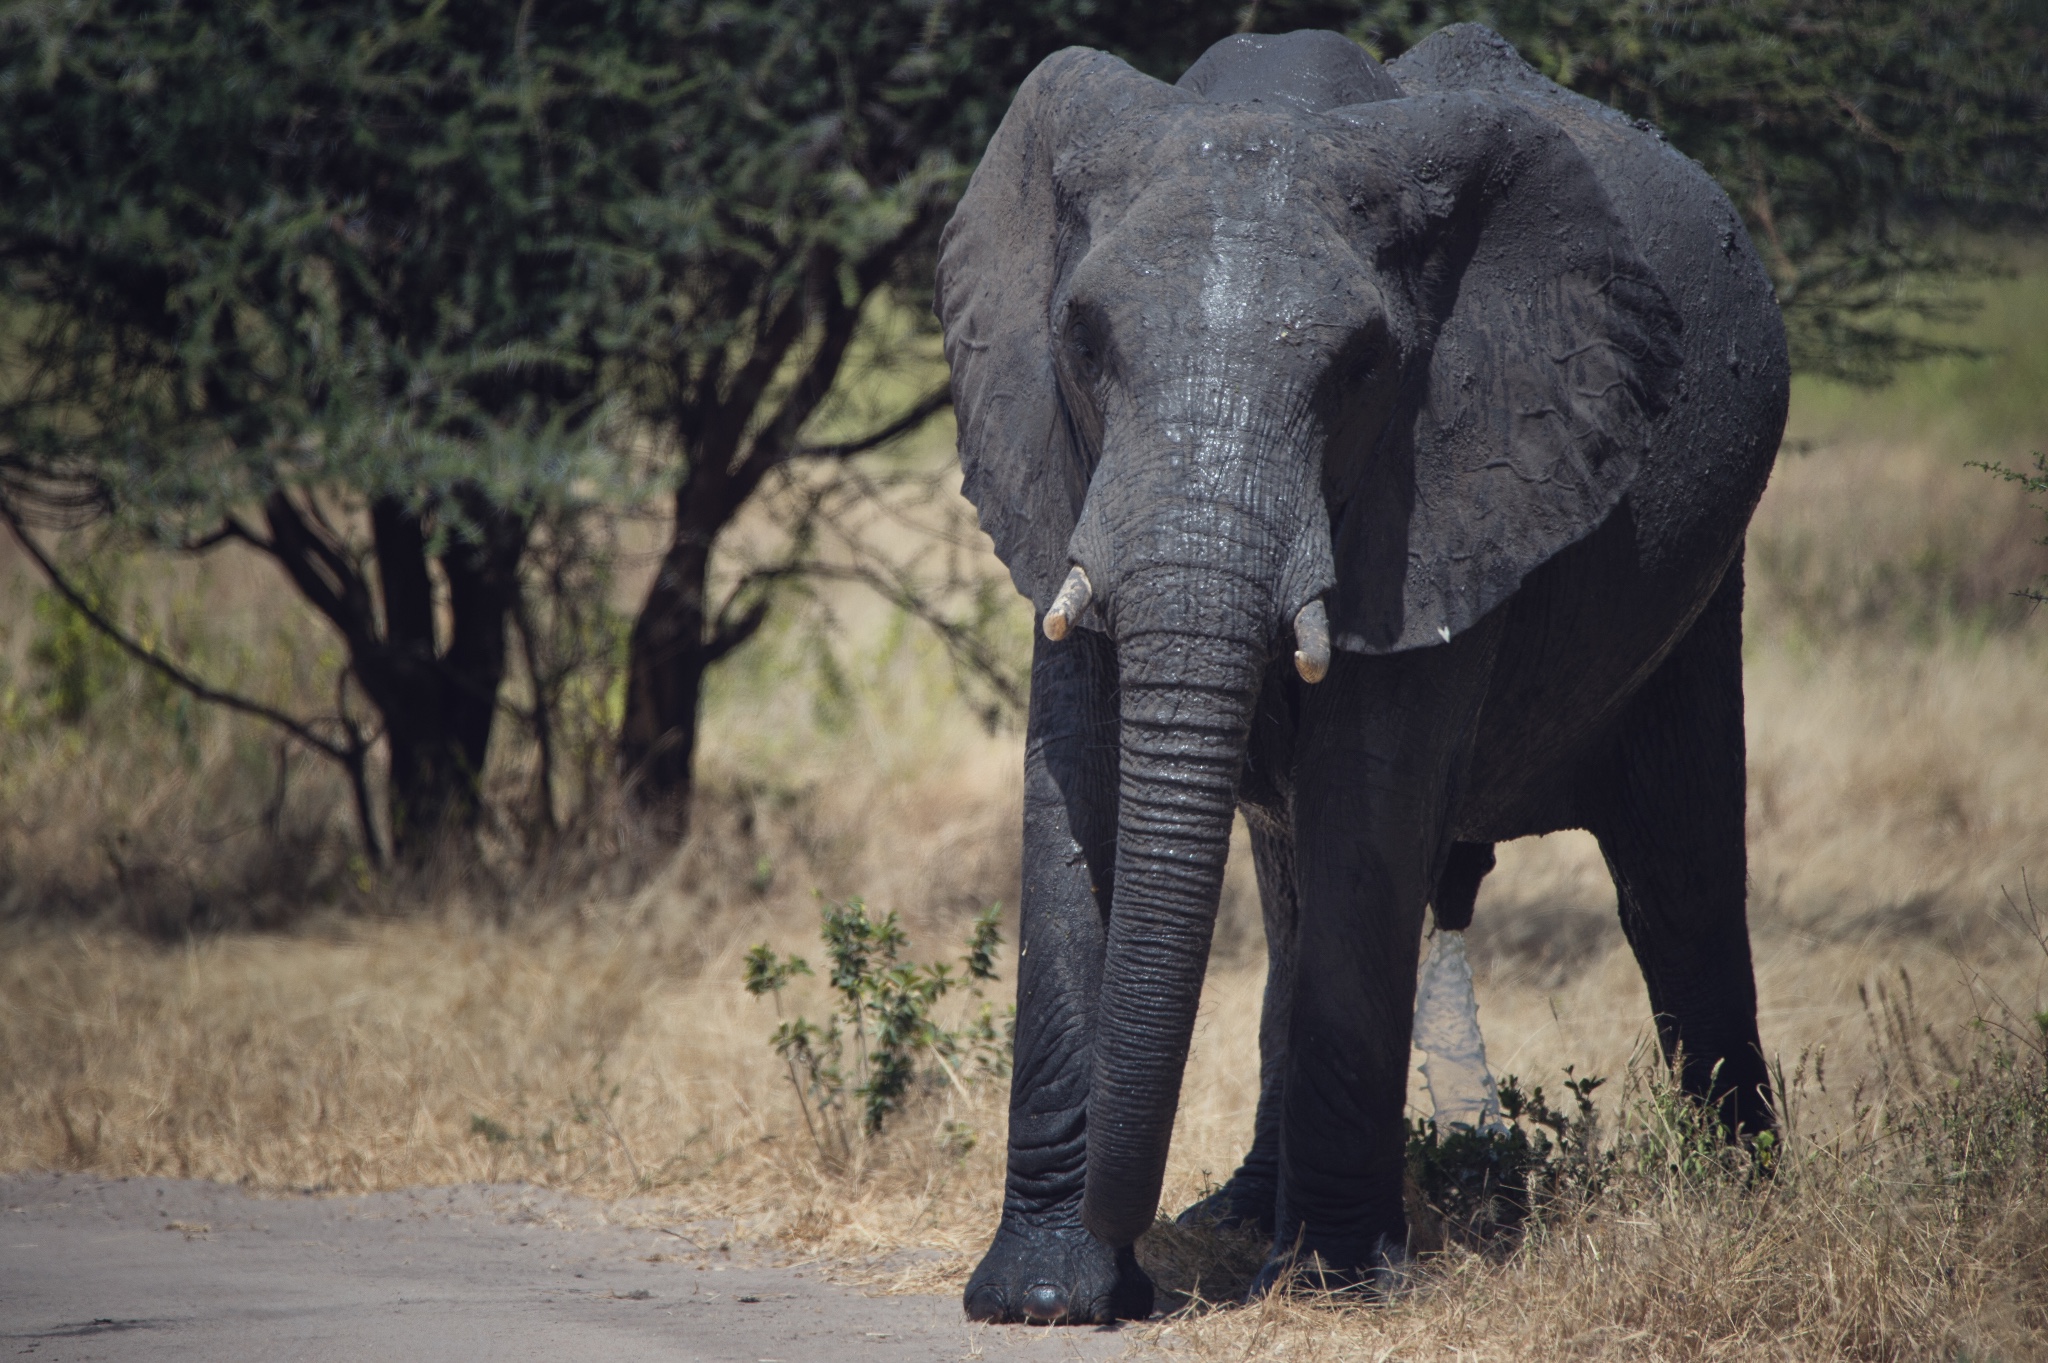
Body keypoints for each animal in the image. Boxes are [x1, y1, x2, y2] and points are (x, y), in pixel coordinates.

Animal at [937, 23, 1785, 1317]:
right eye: (1081, 341)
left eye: (1356, 370)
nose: (1149, 1278)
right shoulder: (1056, 465)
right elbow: (1075, 786)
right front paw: (1045, 1298)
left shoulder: (1449, 476)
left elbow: (1368, 818)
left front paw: (1329, 1287)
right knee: (1289, 893)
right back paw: (1237, 1216)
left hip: (1699, 580)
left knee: (1676, 877)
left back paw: (1742, 1194)